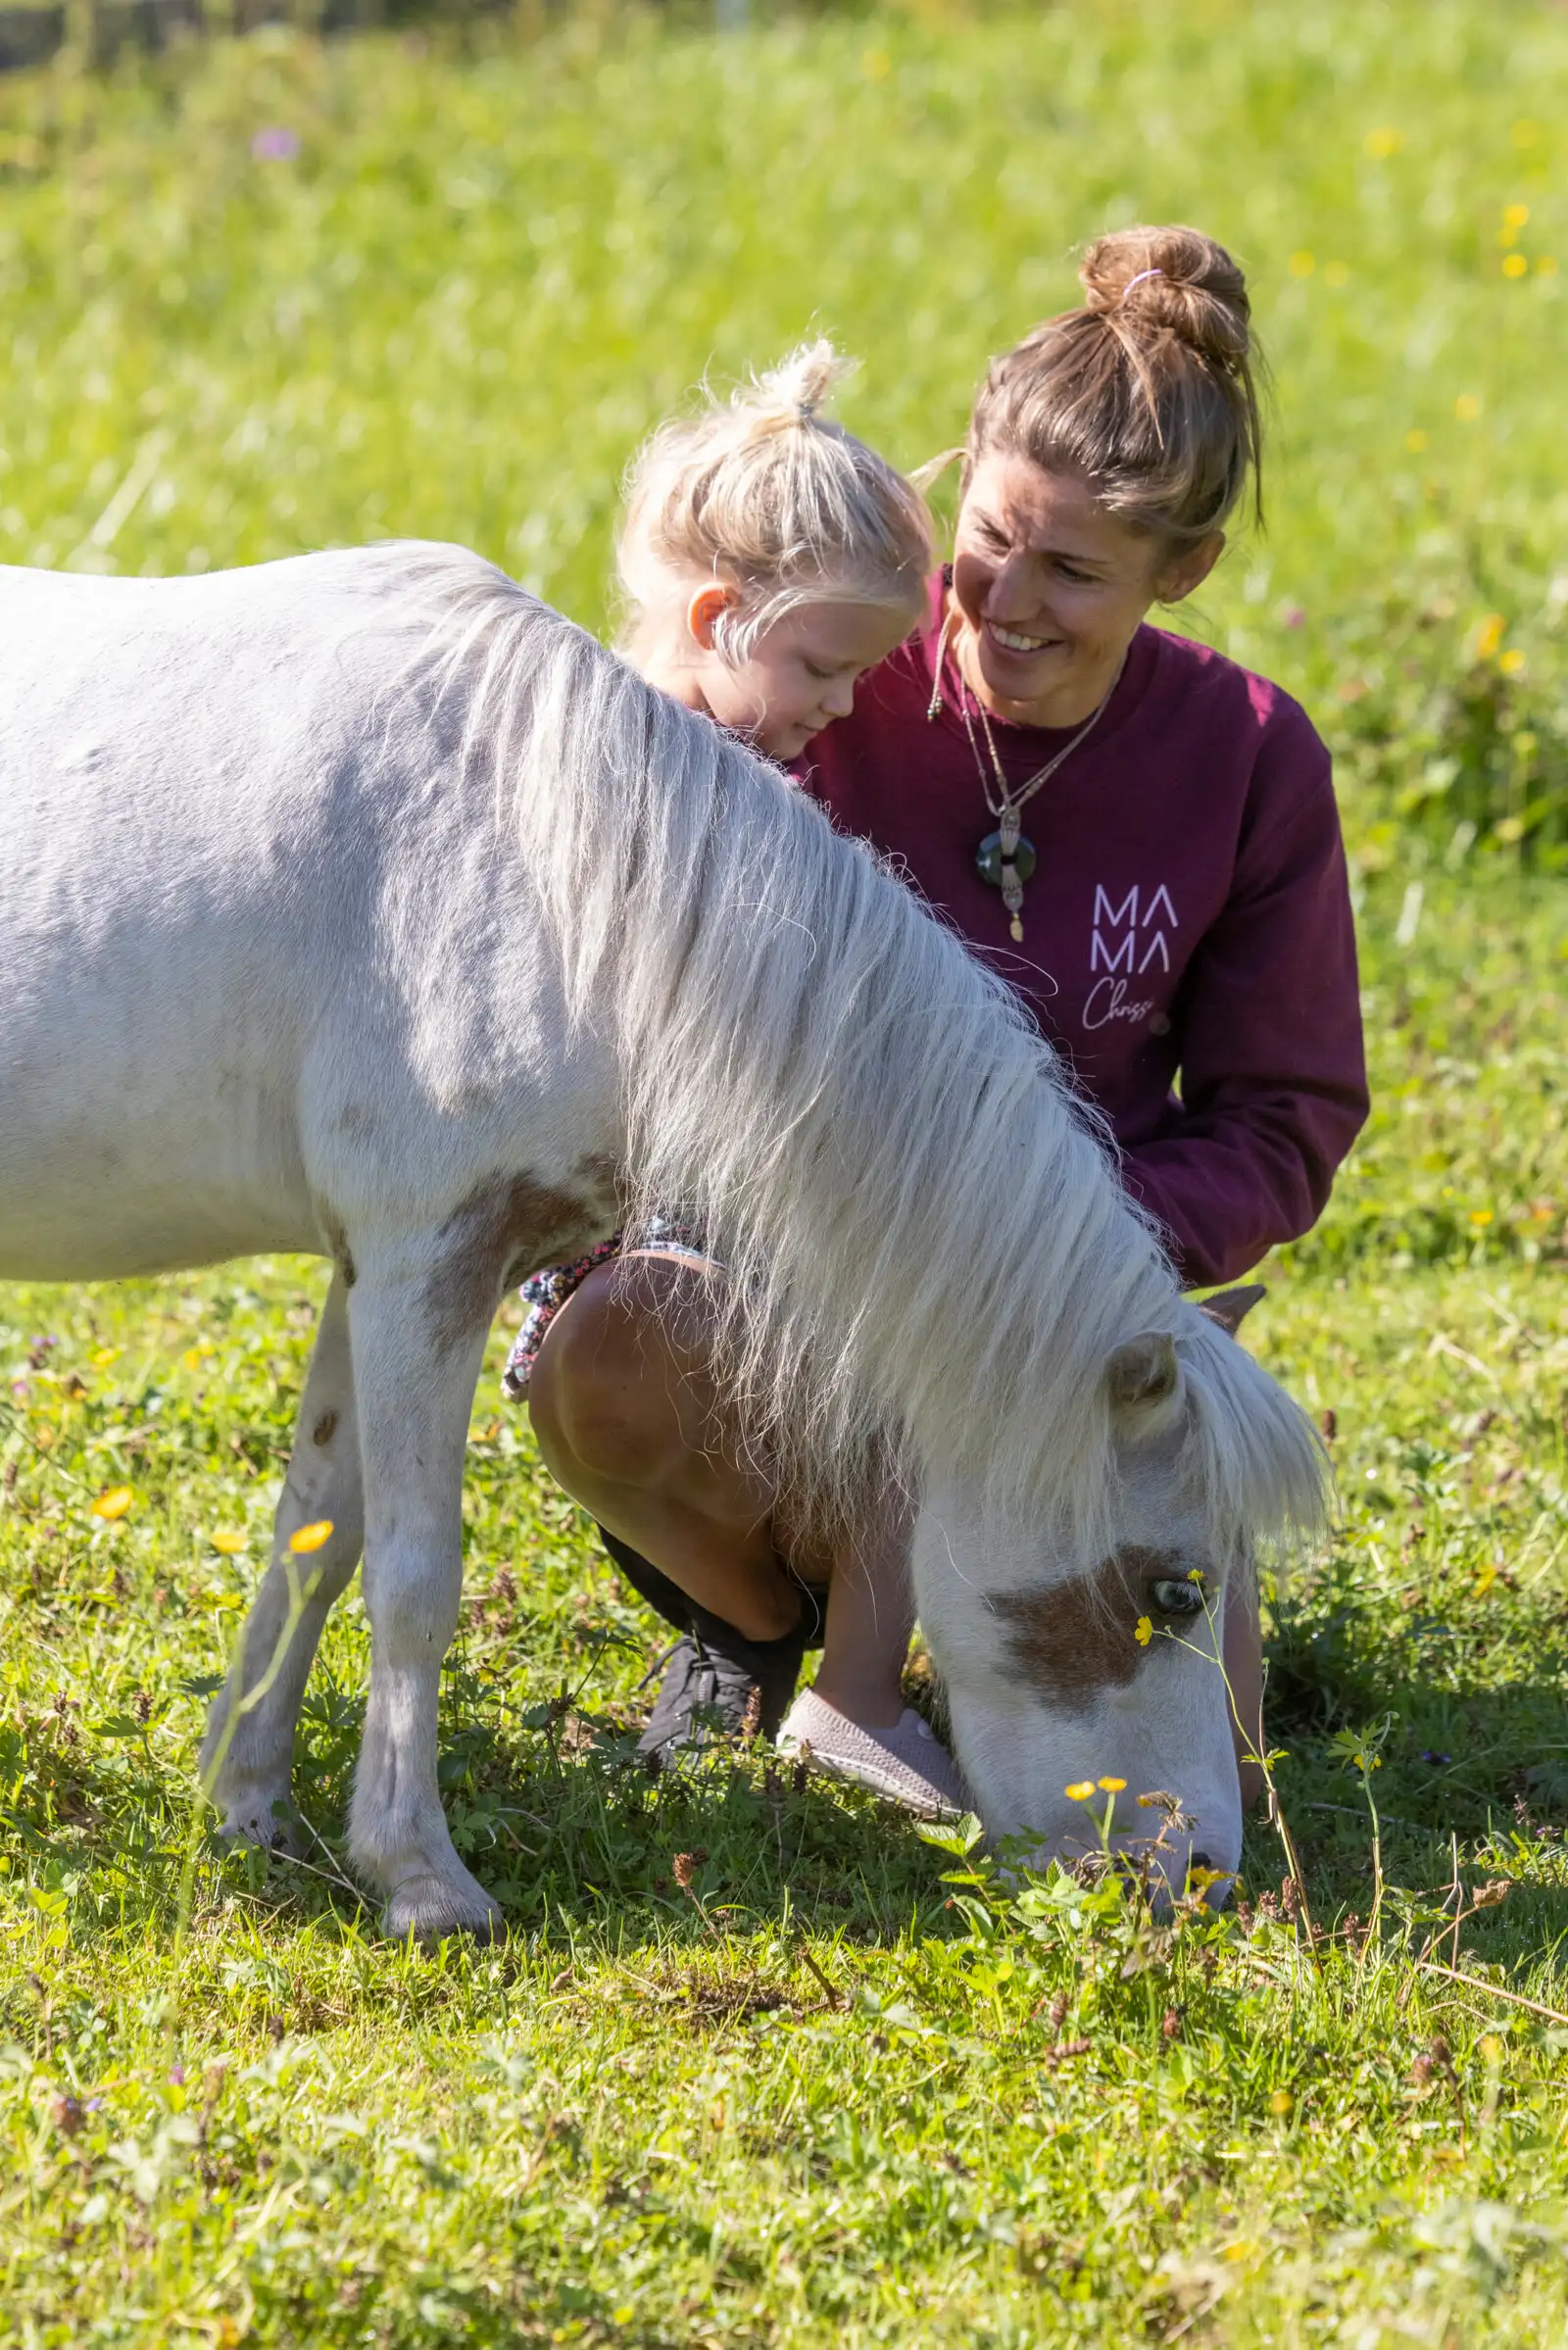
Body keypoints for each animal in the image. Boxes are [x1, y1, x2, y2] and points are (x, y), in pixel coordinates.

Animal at [0, 540, 1329, 1938]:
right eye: (1174, 1589)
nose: (1194, 1873)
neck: (555, 865)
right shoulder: (431, 1259)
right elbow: (414, 1576)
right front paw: (420, 1876)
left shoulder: (373, 1268)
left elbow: (317, 1538)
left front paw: (249, 1810)